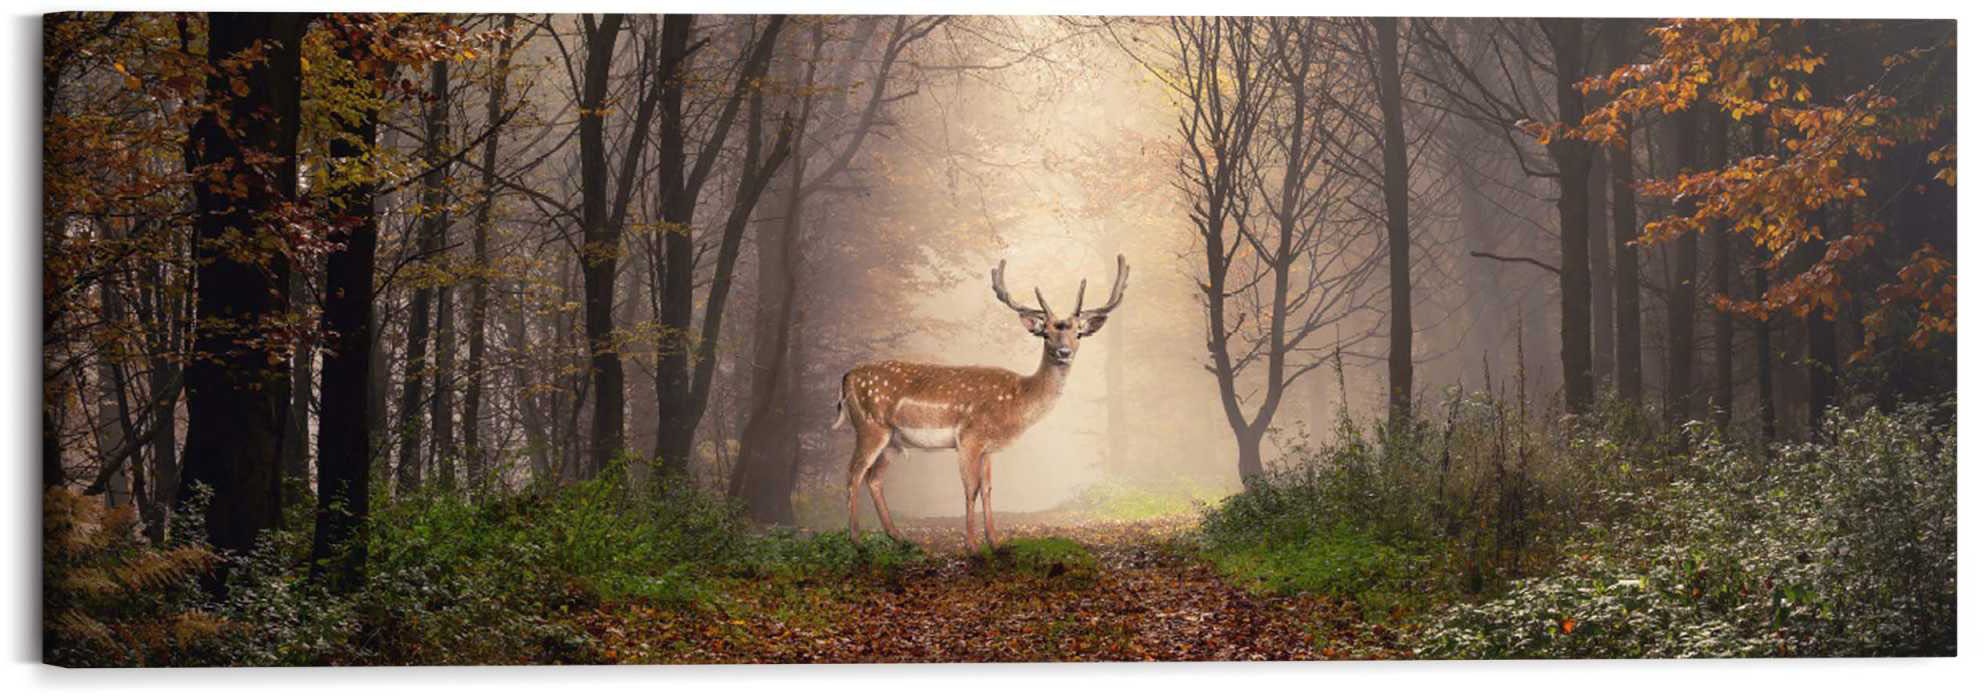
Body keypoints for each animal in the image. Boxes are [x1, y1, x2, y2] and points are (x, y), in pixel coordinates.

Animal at [832, 255, 1129, 551]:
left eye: (1078, 333)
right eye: (1045, 334)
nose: (1064, 352)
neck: (1017, 401)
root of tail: (846, 377)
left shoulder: (987, 448)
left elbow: (987, 490)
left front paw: (995, 542)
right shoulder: (969, 437)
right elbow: (970, 489)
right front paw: (972, 546)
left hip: (894, 440)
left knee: (874, 478)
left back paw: (899, 537)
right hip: (870, 426)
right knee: (853, 473)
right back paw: (856, 540)